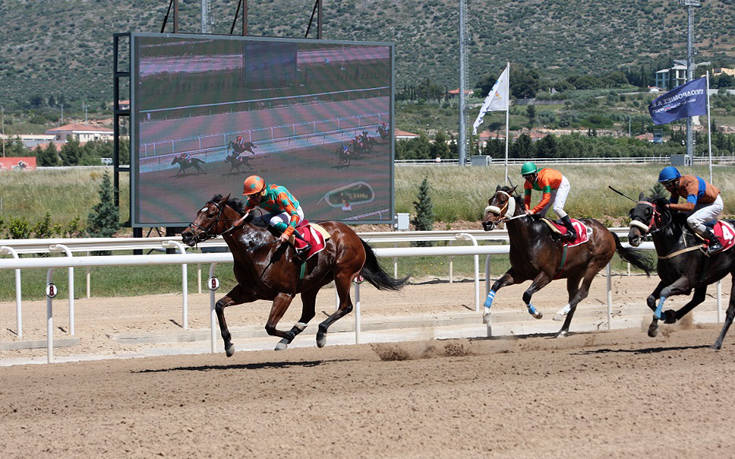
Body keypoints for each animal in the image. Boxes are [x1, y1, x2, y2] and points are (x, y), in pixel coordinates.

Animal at [180, 194, 408, 356]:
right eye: (198, 211)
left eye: (210, 214)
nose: (186, 234)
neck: (255, 247)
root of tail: (352, 234)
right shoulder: (249, 291)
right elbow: (219, 306)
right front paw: (228, 344)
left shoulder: (284, 293)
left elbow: (270, 326)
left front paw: (286, 335)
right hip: (311, 284)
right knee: (309, 313)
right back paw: (293, 336)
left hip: (343, 274)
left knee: (346, 306)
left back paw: (319, 334)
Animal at [486, 185, 652, 336]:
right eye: (490, 200)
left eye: (502, 201)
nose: (486, 223)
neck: (531, 237)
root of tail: (608, 232)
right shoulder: (519, 274)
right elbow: (496, 285)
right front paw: (486, 314)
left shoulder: (546, 274)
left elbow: (526, 294)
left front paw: (537, 313)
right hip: (574, 273)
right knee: (574, 298)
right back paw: (563, 330)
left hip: (595, 264)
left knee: (582, 293)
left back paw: (559, 314)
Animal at [628, 194, 735, 348]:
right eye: (632, 212)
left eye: (648, 212)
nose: (632, 237)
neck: (676, 241)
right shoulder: (668, 279)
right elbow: (650, 299)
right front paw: (666, 315)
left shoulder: (686, 281)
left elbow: (665, 292)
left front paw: (654, 326)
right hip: (704, 279)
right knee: (699, 298)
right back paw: (674, 316)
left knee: (729, 311)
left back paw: (717, 343)